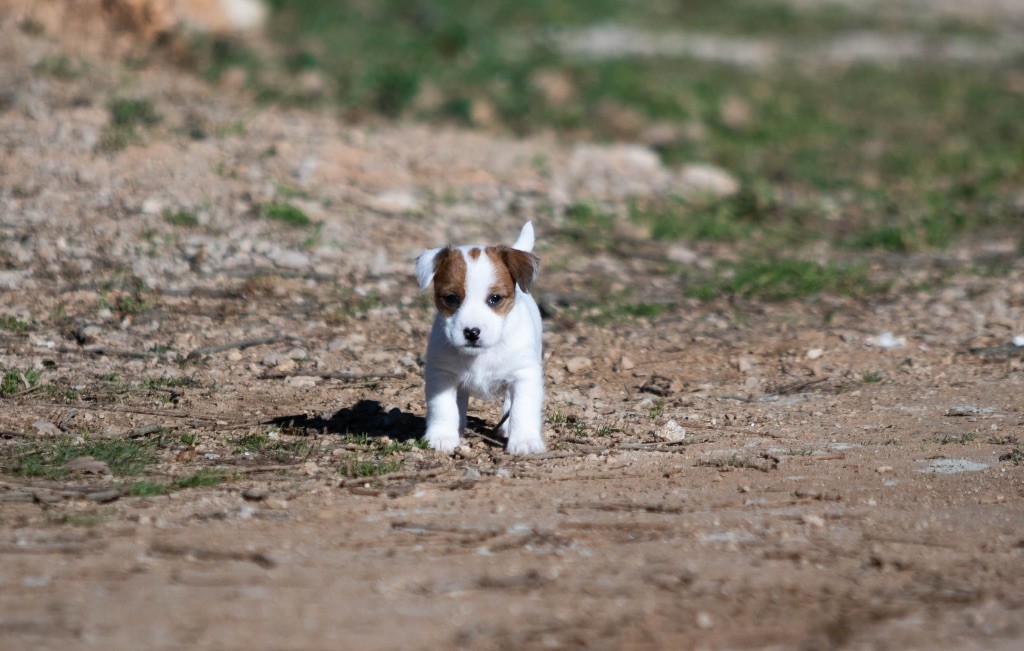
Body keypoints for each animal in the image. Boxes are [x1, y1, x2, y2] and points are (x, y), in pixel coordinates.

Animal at [413, 222, 548, 452]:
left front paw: (525, 441)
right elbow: (442, 407)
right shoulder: (442, 375)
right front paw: (441, 436)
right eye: (451, 298)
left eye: (495, 298)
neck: (481, 355)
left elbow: (523, 410)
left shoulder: (525, 376)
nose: (472, 332)